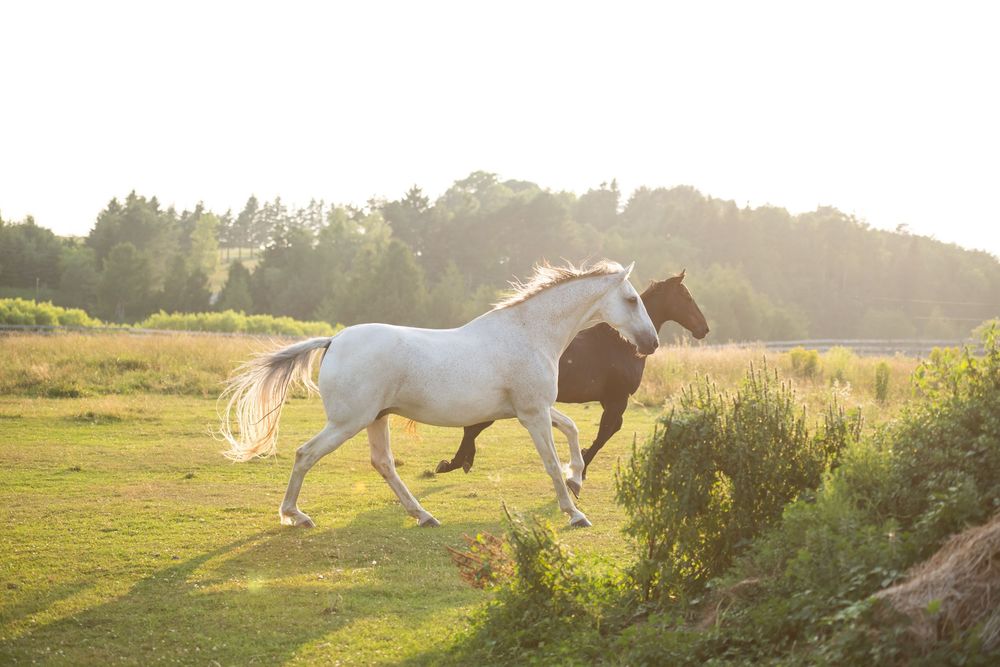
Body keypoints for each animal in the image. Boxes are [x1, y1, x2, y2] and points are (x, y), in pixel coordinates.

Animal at [218, 260, 659, 529]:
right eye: (632, 299)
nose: (651, 343)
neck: (530, 333)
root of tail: (334, 340)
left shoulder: (531, 409)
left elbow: (572, 431)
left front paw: (577, 479)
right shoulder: (532, 413)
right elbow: (550, 462)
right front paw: (575, 513)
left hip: (376, 419)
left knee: (383, 464)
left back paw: (424, 515)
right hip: (348, 422)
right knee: (305, 454)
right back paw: (295, 515)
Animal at [435, 270, 708, 480]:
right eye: (686, 296)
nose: (703, 329)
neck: (622, 345)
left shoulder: (611, 400)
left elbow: (610, 429)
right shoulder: (617, 399)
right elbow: (607, 431)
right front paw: (581, 468)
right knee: (474, 426)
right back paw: (454, 462)